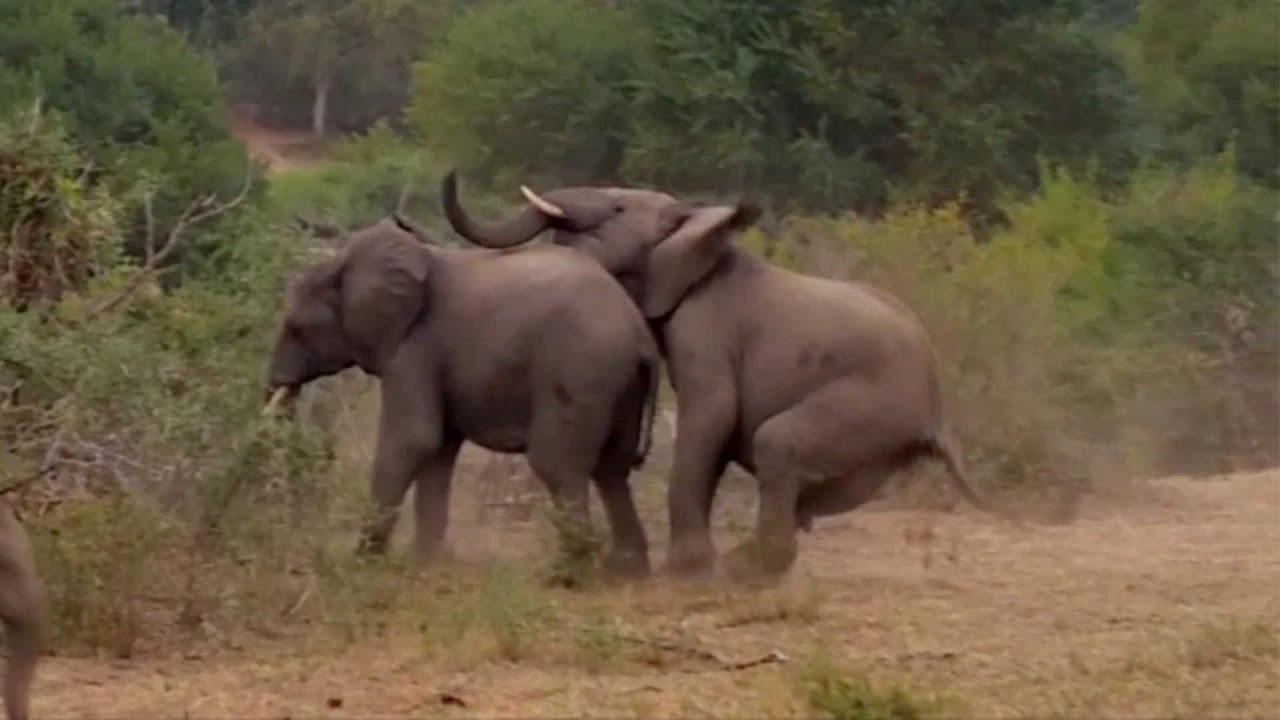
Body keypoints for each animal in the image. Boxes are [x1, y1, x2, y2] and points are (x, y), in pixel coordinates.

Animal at [262, 215, 661, 578]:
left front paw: (362, 562)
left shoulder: (415, 346)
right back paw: (627, 571)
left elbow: (412, 438)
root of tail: (640, 335)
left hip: (580, 368)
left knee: (559, 465)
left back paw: (566, 574)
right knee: (612, 469)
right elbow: (438, 450)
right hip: (619, 381)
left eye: (296, 328)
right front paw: (426, 563)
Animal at [435, 171, 994, 581]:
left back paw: (746, 572)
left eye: (617, 209)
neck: (695, 232)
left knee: (777, 442)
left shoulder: (705, 328)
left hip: (872, 404)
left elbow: (710, 417)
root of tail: (937, 411)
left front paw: (685, 571)